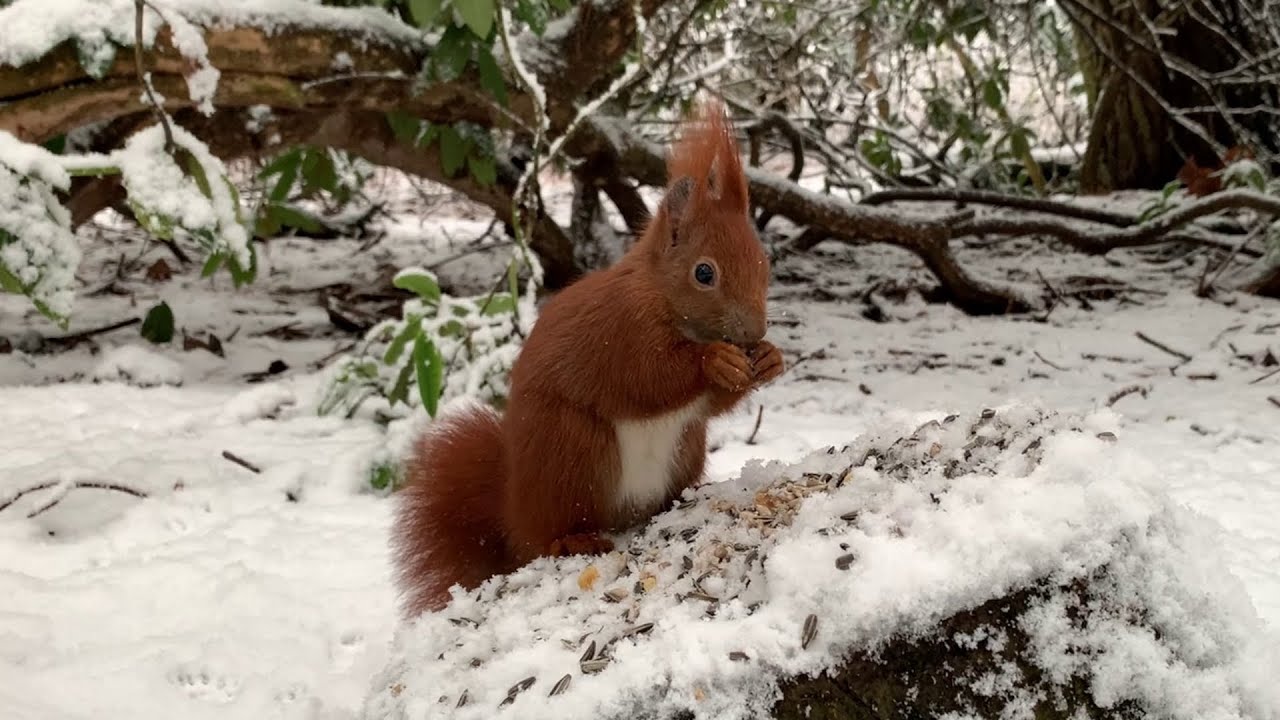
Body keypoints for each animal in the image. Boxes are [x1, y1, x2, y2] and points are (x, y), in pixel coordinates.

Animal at [390, 99, 785, 617]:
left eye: (765, 264)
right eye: (704, 273)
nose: (754, 333)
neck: (660, 297)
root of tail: (513, 518)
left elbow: (710, 403)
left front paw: (771, 360)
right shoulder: (619, 333)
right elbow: (649, 377)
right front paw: (715, 362)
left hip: (686, 446)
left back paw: (682, 498)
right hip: (571, 449)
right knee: (550, 534)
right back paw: (572, 540)